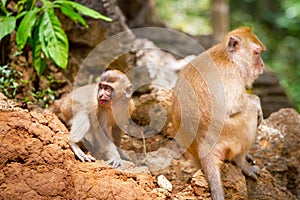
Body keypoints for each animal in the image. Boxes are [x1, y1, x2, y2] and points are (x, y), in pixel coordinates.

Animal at [172, 27, 266, 200]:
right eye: (256, 53)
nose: (262, 64)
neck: (228, 58)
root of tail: (204, 146)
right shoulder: (232, 76)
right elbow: (232, 106)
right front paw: (256, 101)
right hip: (229, 134)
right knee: (249, 113)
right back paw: (241, 161)